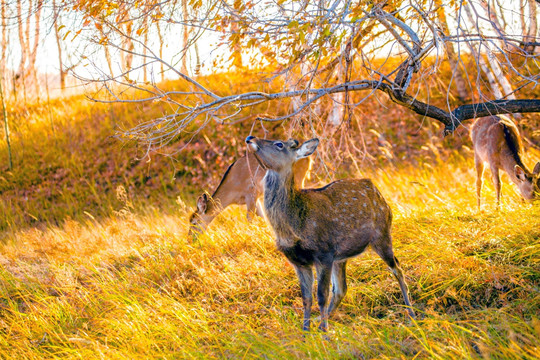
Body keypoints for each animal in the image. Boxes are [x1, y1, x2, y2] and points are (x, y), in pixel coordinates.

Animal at [247, 136, 416, 332]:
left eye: (279, 144)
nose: (250, 138)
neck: (293, 227)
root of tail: (376, 190)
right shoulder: (298, 261)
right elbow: (307, 298)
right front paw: (306, 332)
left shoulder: (323, 252)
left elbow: (321, 295)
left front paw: (324, 333)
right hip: (341, 256)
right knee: (342, 288)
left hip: (382, 234)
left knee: (397, 269)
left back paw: (411, 314)